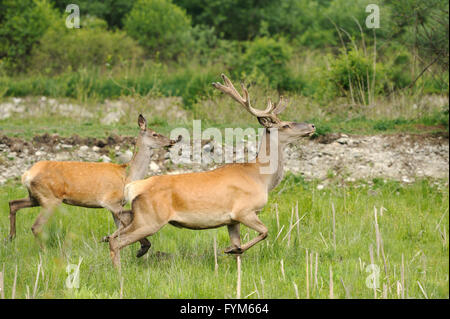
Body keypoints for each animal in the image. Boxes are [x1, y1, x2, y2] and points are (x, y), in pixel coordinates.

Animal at [8, 115, 177, 258]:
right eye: (155, 134)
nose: (172, 141)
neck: (128, 176)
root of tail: (27, 175)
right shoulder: (110, 201)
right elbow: (127, 224)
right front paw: (141, 249)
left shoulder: (117, 205)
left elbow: (121, 228)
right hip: (50, 198)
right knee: (35, 226)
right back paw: (44, 251)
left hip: (36, 196)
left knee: (13, 203)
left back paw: (10, 237)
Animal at [107, 75, 314, 268]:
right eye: (285, 125)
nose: (312, 126)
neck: (261, 177)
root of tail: (134, 187)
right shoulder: (244, 210)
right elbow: (265, 232)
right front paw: (231, 249)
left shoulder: (232, 220)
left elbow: (240, 248)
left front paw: (235, 257)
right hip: (150, 218)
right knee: (117, 241)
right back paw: (120, 272)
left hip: (140, 216)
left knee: (112, 235)